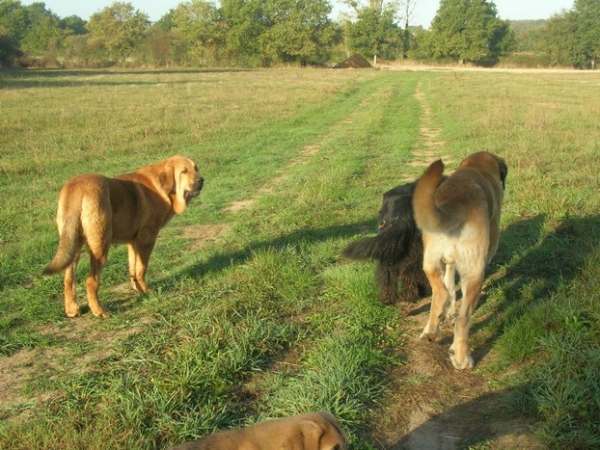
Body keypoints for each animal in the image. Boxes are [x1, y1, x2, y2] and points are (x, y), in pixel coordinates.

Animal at [43, 156, 204, 318]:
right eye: (184, 171)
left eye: (196, 168)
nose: (201, 180)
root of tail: (77, 187)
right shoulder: (146, 238)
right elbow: (141, 269)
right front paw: (146, 291)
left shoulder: (133, 242)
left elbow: (133, 269)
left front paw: (138, 290)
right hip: (100, 246)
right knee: (91, 281)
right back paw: (99, 311)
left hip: (73, 246)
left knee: (69, 280)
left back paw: (72, 309)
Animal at [412, 151, 506, 370]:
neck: (476, 166)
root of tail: (454, 207)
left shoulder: (448, 263)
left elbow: (450, 287)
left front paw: (447, 314)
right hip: (473, 275)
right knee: (464, 320)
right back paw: (461, 358)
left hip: (429, 263)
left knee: (441, 293)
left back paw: (431, 330)